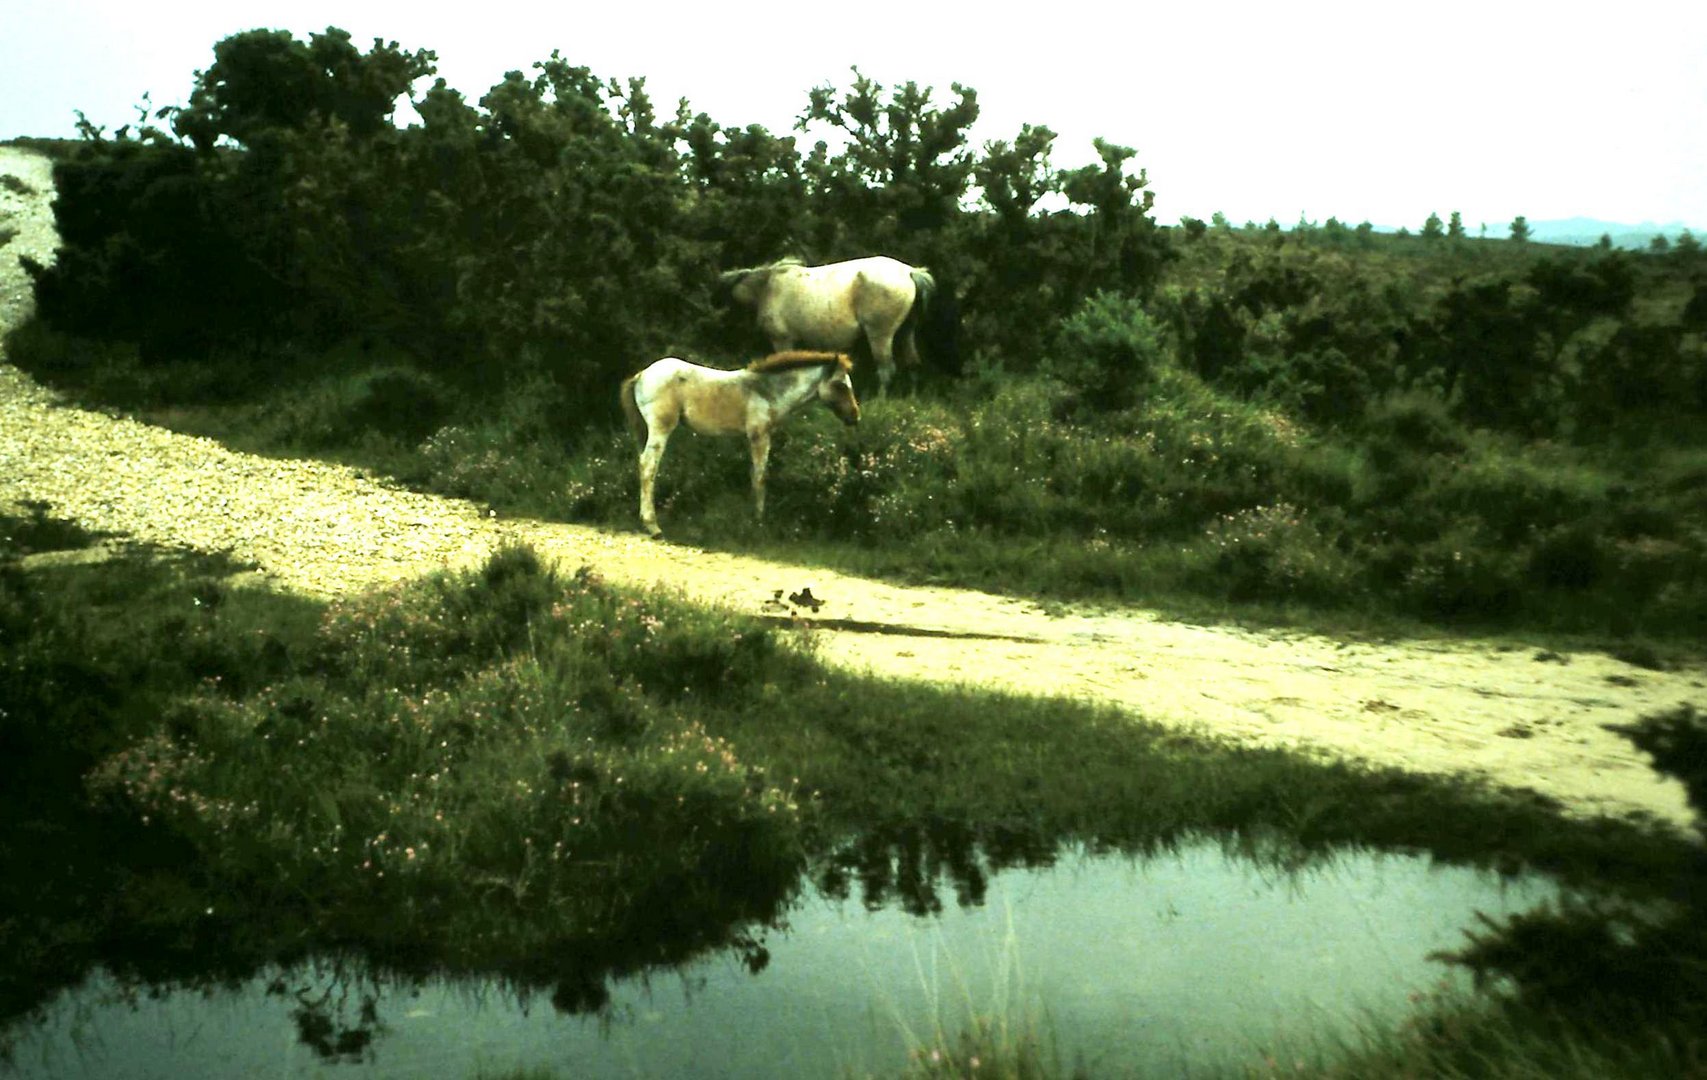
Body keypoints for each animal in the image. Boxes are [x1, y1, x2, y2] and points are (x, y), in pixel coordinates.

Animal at [621, 351, 860, 535]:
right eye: (840, 385)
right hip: (660, 428)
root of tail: (641, 375)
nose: (855, 417)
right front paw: (758, 522)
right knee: (649, 466)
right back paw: (653, 527)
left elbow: (753, 475)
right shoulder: (759, 435)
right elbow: (761, 477)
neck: (767, 391)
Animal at [716, 254, 942, 395]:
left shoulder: (782, 340)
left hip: (880, 335)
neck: (767, 286)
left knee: (886, 369)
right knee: (913, 363)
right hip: (906, 333)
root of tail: (910, 272)